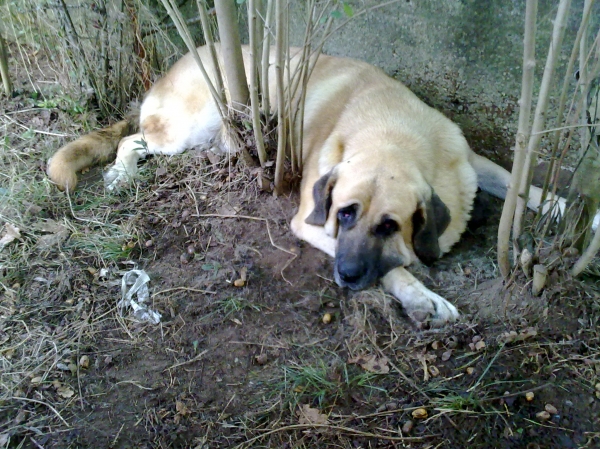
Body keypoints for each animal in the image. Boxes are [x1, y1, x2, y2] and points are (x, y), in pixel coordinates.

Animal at [48, 46, 576, 326]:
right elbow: (391, 272)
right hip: (187, 129)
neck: (393, 134)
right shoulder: (311, 224)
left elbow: (511, 179)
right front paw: (420, 296)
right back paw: (120, 173)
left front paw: (560, 205)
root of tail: (187, 55)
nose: (346, 276)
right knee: (132, 139)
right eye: (344, 213)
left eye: (390, 225)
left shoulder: (468, 160)